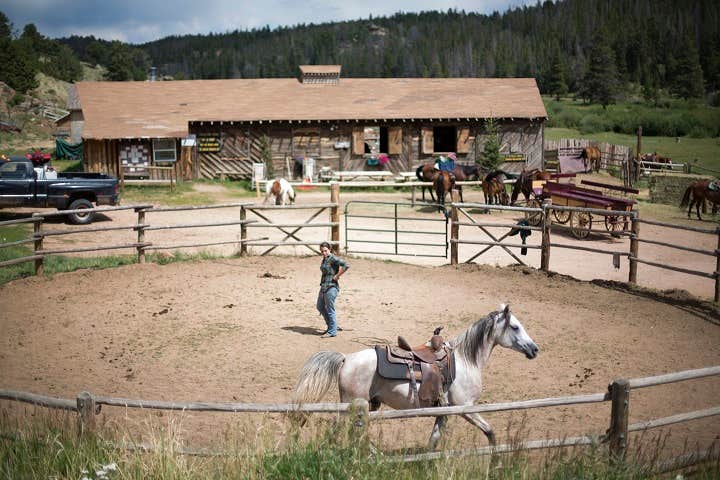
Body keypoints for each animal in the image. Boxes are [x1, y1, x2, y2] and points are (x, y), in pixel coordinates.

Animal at [292, 304, 539, 449]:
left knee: (356, 432)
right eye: (515, 327)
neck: (465, 360)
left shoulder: (444, 412)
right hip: (354, 406)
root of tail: (345, 358)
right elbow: (490, 432)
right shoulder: (465, 408)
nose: (534, 349)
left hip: (368, 405)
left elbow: (433, 441)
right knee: (345, 431)